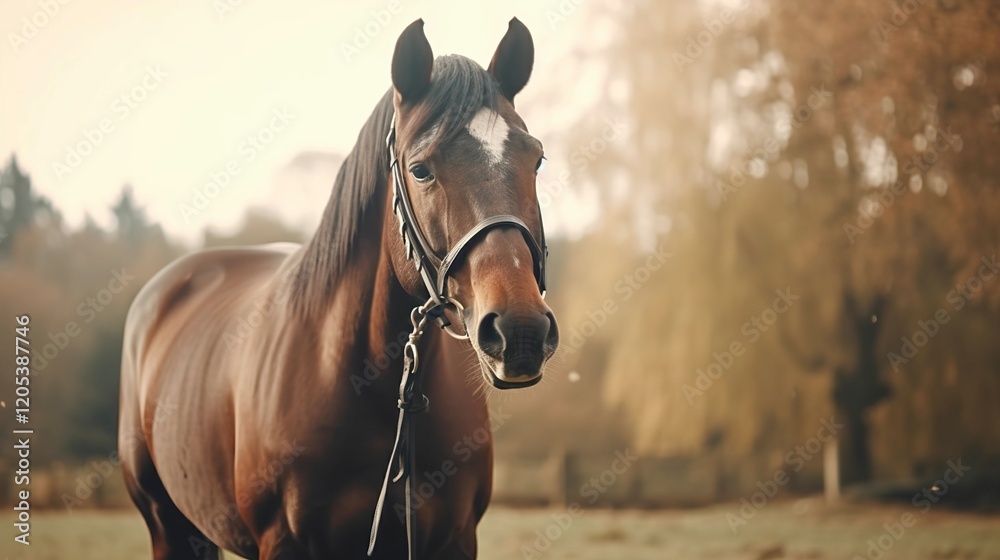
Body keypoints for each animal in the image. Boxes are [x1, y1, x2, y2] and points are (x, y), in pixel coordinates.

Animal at [118, 17, 559, 560]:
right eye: (421, 169)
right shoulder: (282, 543)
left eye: (536, 160)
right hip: (167, 525)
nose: (520, 331)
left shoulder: (455, 540)